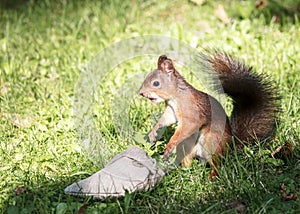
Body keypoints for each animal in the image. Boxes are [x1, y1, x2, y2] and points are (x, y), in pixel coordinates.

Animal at [139, 51, 278, 177]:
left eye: (156, 83)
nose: (141, 93)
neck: (176, 96)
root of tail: (231, 147)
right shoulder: (171, 111)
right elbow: (167, 120)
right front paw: (153, 132)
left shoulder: (192, 113)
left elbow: (186, 128)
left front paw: (170, 144)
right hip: (188, 147)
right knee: (188, 161)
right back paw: (182, 171)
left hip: (212, 142)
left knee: (217, 164)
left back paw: (213, 176)